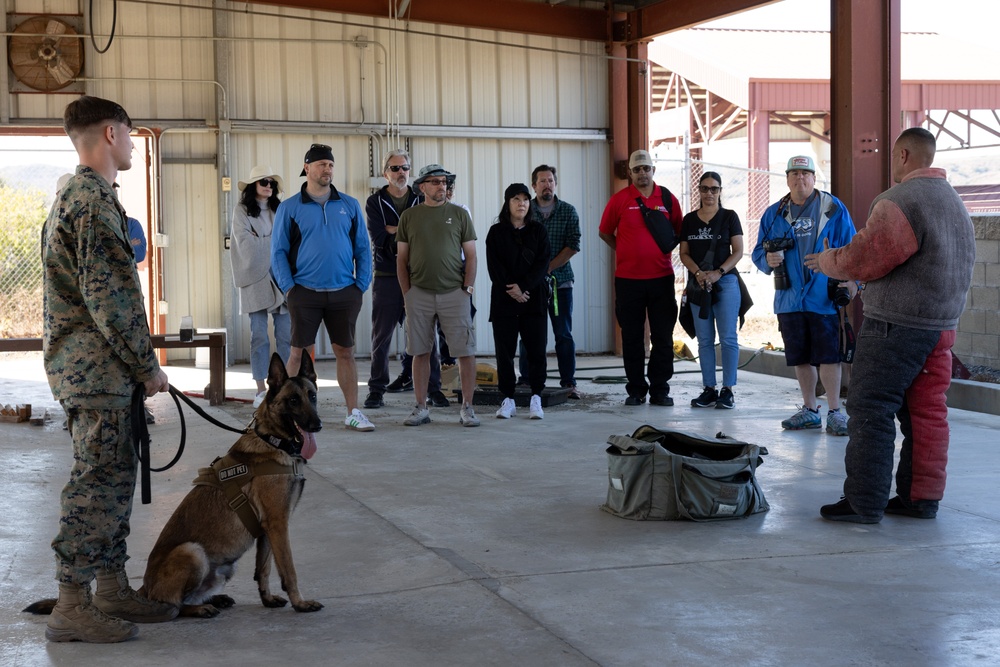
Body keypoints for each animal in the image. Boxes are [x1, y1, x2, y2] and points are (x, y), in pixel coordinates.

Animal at [26, 352, 324, 620]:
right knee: (174, 606)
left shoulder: (266, 530)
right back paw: (200, 608)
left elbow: (264, 569)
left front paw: (268, 599)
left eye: (312, 396)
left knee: (187, 598)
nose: (318, 425)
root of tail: (145, 589)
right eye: (293, 400)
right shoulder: (278, 524)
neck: (273, 440)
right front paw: (300, 603)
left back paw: (215, 598)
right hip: (193, 552)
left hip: (221, 568)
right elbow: (288, 569)